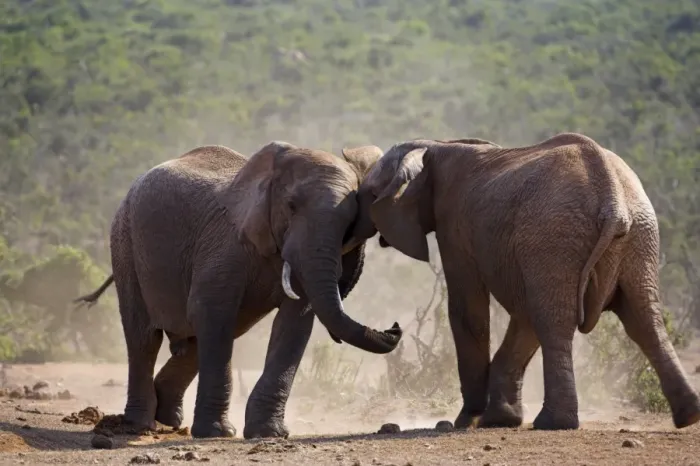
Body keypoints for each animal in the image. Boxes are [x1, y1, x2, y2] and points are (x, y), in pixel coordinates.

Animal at [80, 141, 403, 439]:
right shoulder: (225, 244)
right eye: (291, 206)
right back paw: (140, 425)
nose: (395, 329)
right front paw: (218, 433)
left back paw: (167, 417)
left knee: (204, 337)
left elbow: (293, 324)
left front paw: (268, 433)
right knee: (144, 336)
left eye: (350, 221)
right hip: (124, 240)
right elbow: (209, 310)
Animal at [345, 132, 700, 431]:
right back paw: (689, 416)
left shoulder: (452, 222)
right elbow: (522, 311)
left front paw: (467, 420)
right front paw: (500, 419)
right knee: (644, 318)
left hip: (557, 234)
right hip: (638, 236)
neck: (433, 145)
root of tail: (612, 198)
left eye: (370, 195)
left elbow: (468, 309)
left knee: (555, 321)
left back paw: (554, 423)